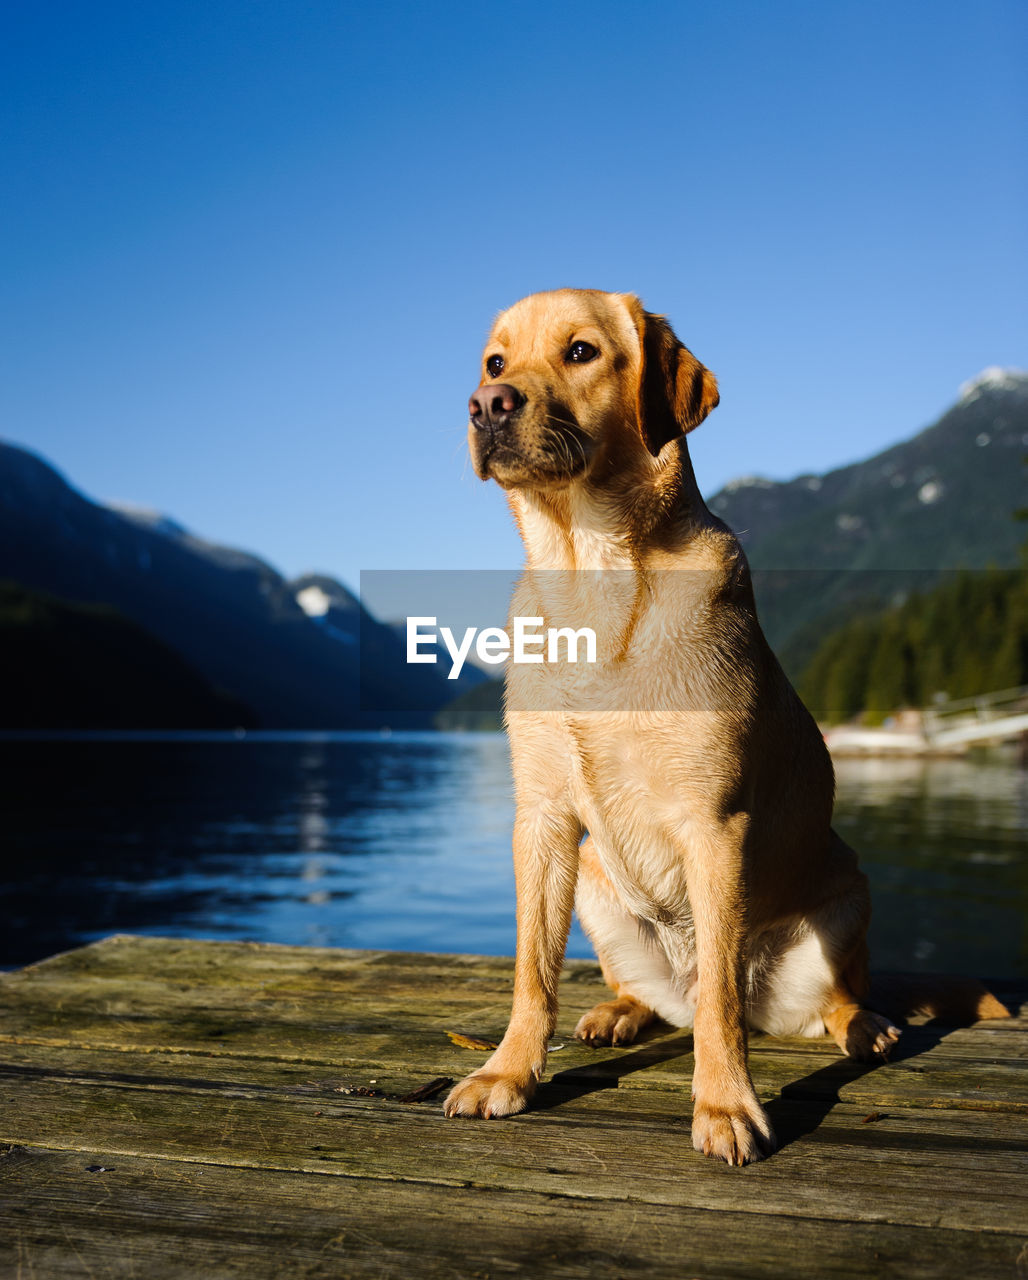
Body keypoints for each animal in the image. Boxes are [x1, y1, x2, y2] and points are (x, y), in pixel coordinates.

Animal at [440, 288, 1003, 1162]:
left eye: (580, 352)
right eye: (495, 362)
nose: (487, 404)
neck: (592, 578)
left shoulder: (715, 826)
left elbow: (719, 1010)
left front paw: (725, 1104)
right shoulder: (542, 819)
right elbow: (532, 975)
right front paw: (509, 1072)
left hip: (845, 902)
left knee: (810, 998)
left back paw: (865, 1027)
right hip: (598, 884)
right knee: (660, 998)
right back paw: (619, 1012)